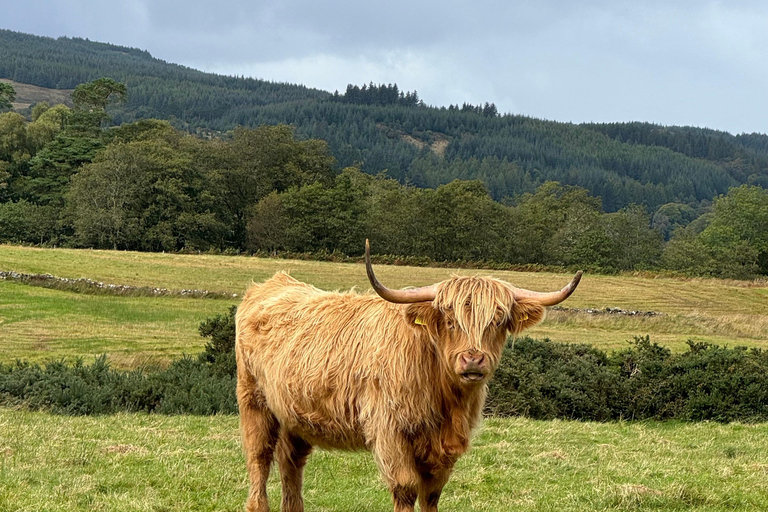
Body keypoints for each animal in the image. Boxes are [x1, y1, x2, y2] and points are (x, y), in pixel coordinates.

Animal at [236, 241, 584, 512]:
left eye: (497, 322)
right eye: (449, 321)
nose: (473, 359)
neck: (445, 399)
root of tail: (273, 283)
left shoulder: (444, 448)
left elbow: (432, 494)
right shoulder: (390, 431)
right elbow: (405, 489)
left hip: (294, 415)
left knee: (291, 464)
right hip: (254, 401)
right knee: (259, 458)